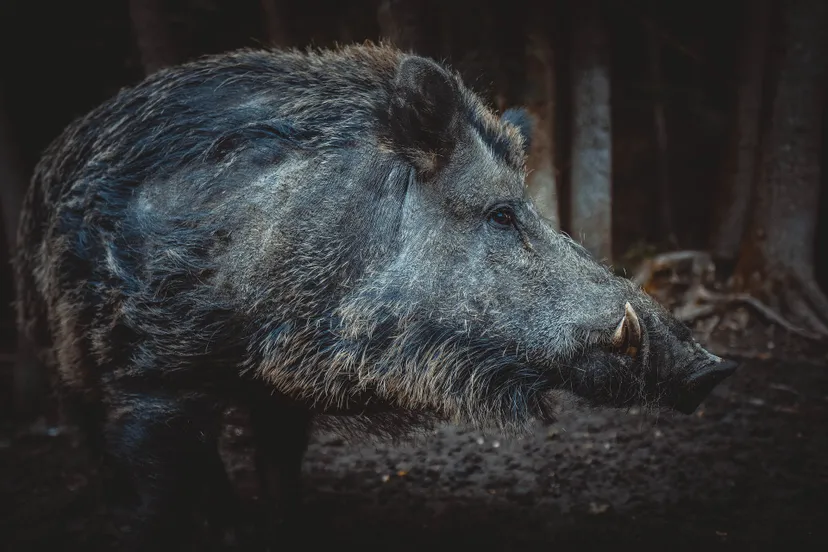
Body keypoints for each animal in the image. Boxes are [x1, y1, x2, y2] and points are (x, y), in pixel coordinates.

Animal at [13, 42, 738, 549]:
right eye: (502, 213)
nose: (712, 367)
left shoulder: (277, 388)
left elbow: (281, 470)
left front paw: (280, 532)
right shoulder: (150, 379)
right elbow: (156, 497)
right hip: (56, 347)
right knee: (92, 429)